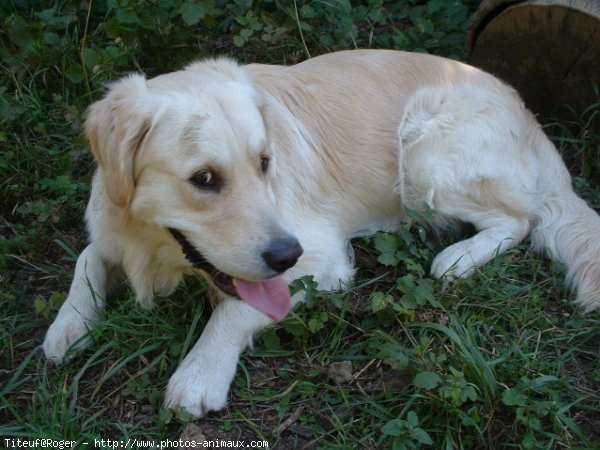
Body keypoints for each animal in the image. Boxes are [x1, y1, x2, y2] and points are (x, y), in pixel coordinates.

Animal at [42, 50, 600, 418]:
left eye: (264, 162)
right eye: (204, 179)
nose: (286, 254)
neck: (155, 248)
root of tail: (526, 111)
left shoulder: (323, 260)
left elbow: (235, 309)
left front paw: (200, 373)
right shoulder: (110, 228)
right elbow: (87, 259)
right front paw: (69, 326)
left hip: (424, 154)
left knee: (521, 219)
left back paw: (459, 258)